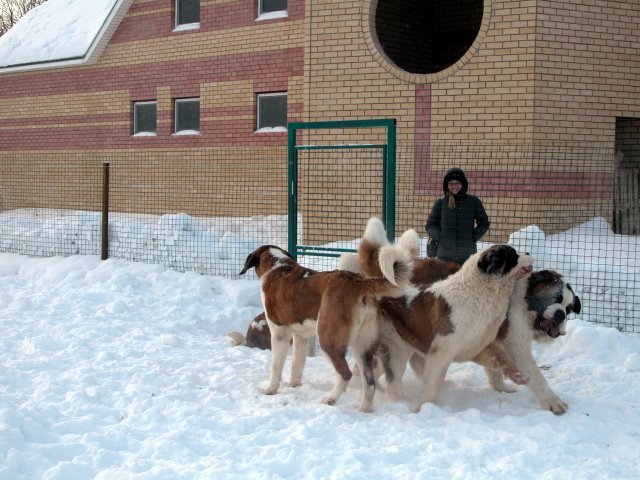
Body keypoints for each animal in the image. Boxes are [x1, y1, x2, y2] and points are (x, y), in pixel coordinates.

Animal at [238, 244, 412, 412]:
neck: (278, 268)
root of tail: (358, 281)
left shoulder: (279, 334)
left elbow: (276, 368)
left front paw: (270, 390)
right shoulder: (301, 337)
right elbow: (297, 364)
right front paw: (294, 385)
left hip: (327, 340)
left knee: (345, 374)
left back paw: (330, 399)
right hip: (362, 347)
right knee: (369, 382)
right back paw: (364, 409)